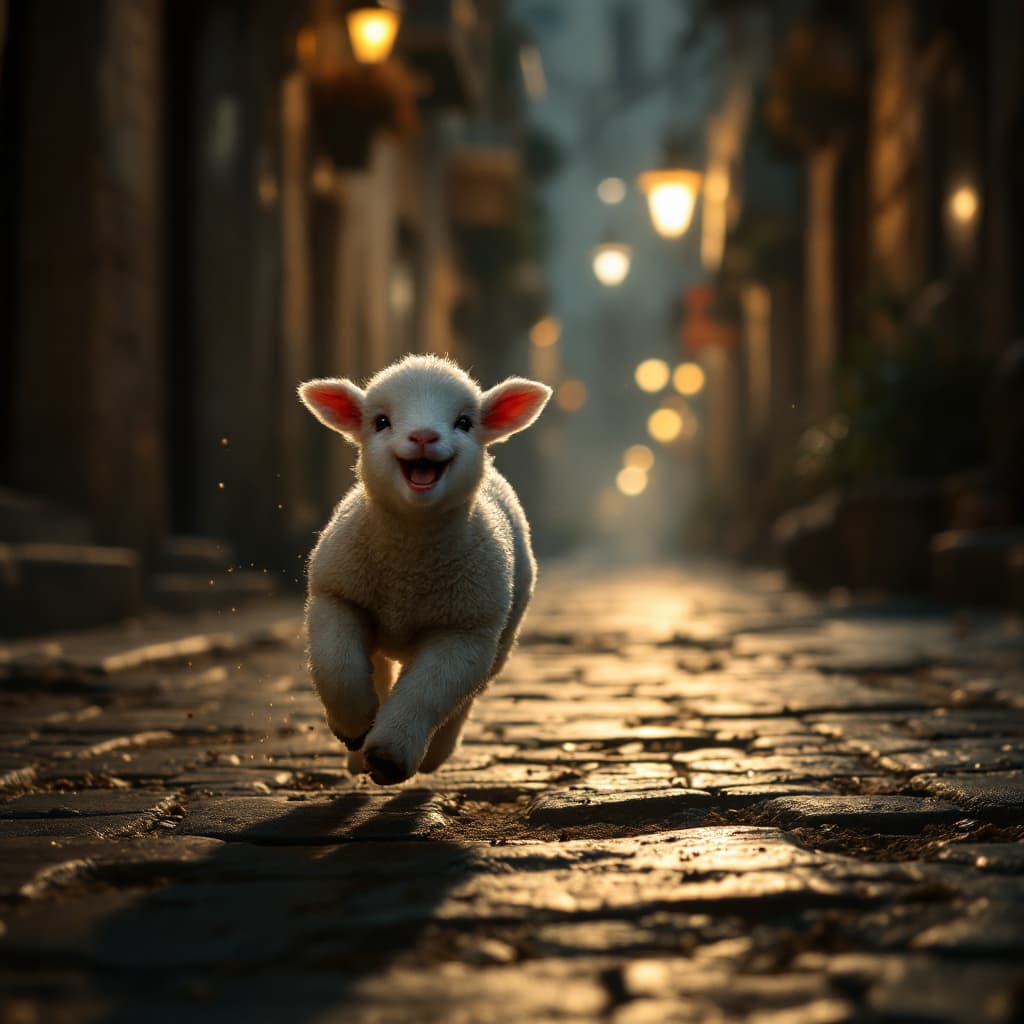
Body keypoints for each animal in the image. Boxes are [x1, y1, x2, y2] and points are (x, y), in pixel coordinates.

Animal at [297, 354, 552, 785]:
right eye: (381, 421)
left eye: (464, 422)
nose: (422, 436)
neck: (408, 566)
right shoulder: (337, 595)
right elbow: (337, 666)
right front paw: (353, 726)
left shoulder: (465, 631)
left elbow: (427, 692)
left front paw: (389, 754)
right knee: (377, 668)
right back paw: (357, 753)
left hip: (501, 638)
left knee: (467, 696)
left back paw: (434, 754)